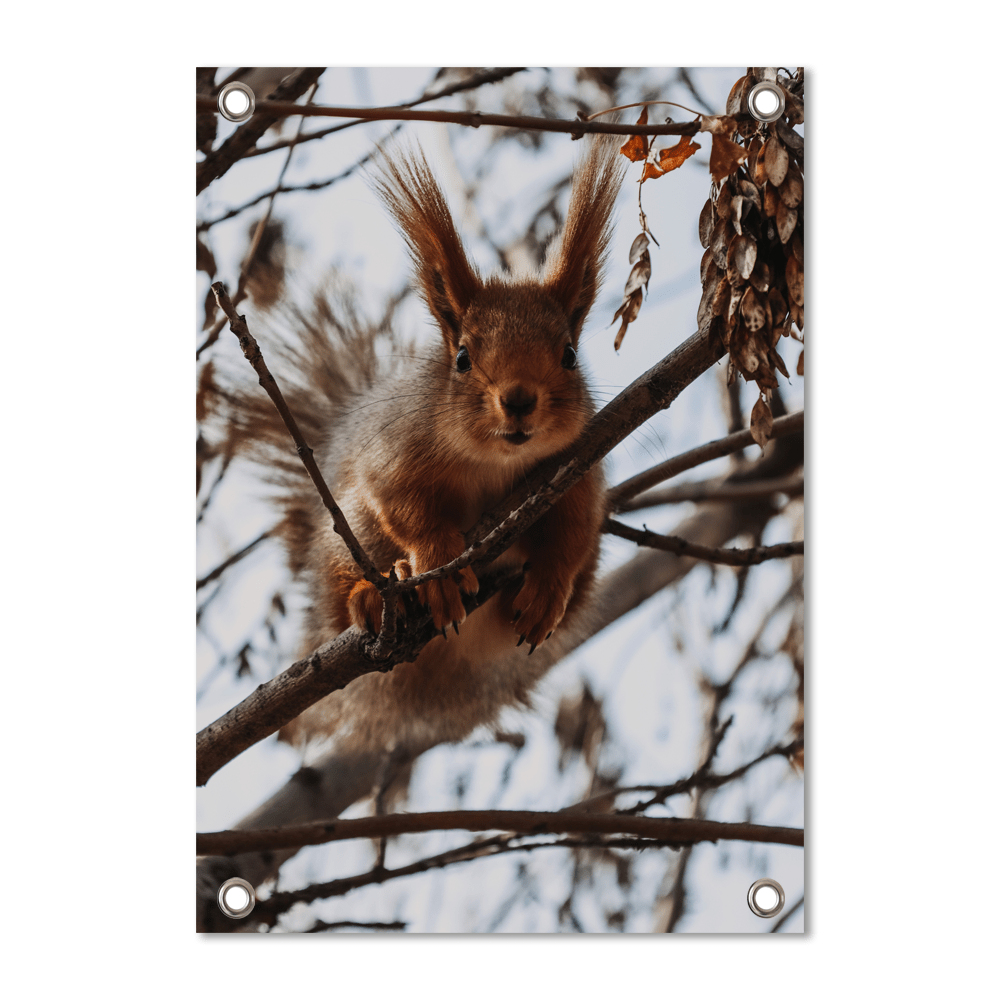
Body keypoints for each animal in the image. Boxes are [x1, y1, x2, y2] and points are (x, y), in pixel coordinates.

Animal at [224, 137, 625, 757]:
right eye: (462, 356)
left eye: (569, 355)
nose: (518, 399)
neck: (494, 462)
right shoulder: (395, 453)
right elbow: (407, 507)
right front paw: (436, 564)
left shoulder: (580, 471)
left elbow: (573, 533)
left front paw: (548, 586)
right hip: (351, 535)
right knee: (344, 591)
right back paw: (369, 597)